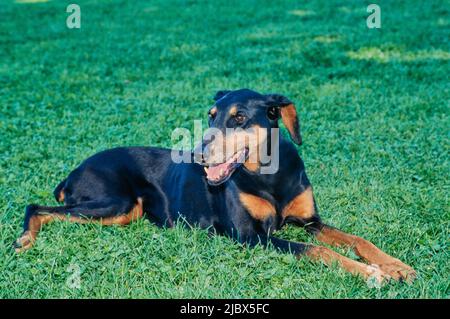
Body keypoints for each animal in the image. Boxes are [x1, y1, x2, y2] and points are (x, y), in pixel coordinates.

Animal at [14, 89, 414, 284]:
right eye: (210, 116)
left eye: (239, 118)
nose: (198, 155)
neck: (269, 175)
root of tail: (73, 171)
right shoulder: (252, 237)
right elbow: (318, 251)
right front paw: (371, 274)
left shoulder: (309, 222)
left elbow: (357, 240)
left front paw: (396, 266)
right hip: (117, 204)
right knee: (37, 207)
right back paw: (25, 240)